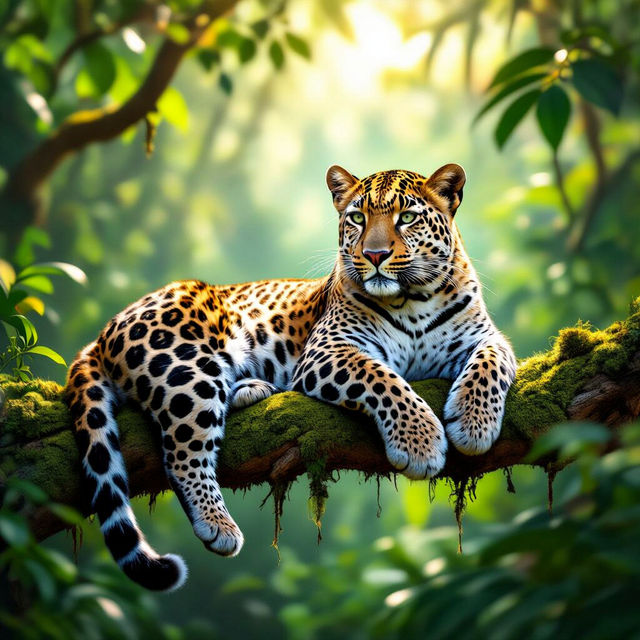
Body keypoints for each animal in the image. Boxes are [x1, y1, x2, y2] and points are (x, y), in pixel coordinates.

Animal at [65, 163, 516, 591]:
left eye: (406, 217)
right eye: (357, 218)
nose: (373, 255)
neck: (414, 299)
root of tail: (106, 329)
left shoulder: (486, 337)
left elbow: (490, 366)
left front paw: (474, 424)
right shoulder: (328, 350)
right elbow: (384, 380)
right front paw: (419, 442)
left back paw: (251, 389)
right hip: (183, 369)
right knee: (182, 453)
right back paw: (217, 523)